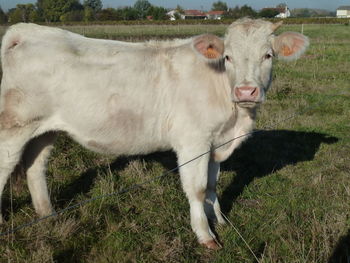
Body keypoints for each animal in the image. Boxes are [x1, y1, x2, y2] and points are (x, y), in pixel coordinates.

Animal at [0, 18, 308, 250]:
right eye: (228, 57)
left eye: (268, 55)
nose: (246, 91)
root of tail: (29, 31)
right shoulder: (193, 141)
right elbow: (197, 189)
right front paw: (206, 235)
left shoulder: (216, 141)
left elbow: (212, 185)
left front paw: (220, 220)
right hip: (14, 127)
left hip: (44, 130)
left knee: (35, 167)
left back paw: (48, 215)